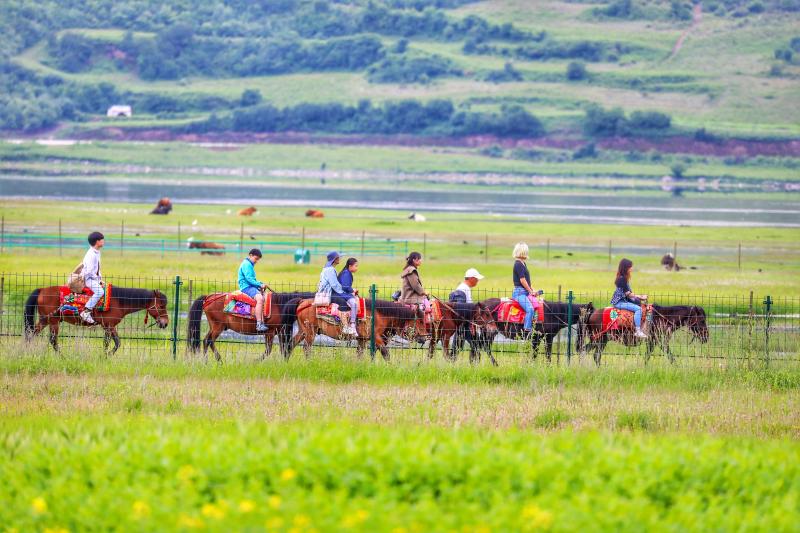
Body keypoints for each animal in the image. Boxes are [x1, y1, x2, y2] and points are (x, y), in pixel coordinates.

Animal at [25, 286, 169, 354]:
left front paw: (106, 355)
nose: (165, 323)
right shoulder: (109, 326)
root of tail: (42, 290)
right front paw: (105, 356)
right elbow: (111, 343)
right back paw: (61, 356)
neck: (118, 301)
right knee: (52, 340)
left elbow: (114, 343)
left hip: (45, 320)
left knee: (31, 334)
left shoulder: (110, 326)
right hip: (53, 322)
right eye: (161, 306)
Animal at [286, 298, 428, 360]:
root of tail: (302, 302)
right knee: (306, 349)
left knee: (291, 344)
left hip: (303, 331)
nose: (424, 338)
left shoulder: (362, 339)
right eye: (420, 321)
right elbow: (386, 353)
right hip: (310, 332)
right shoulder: (376, 338)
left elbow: (360, 354)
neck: (379, 314)